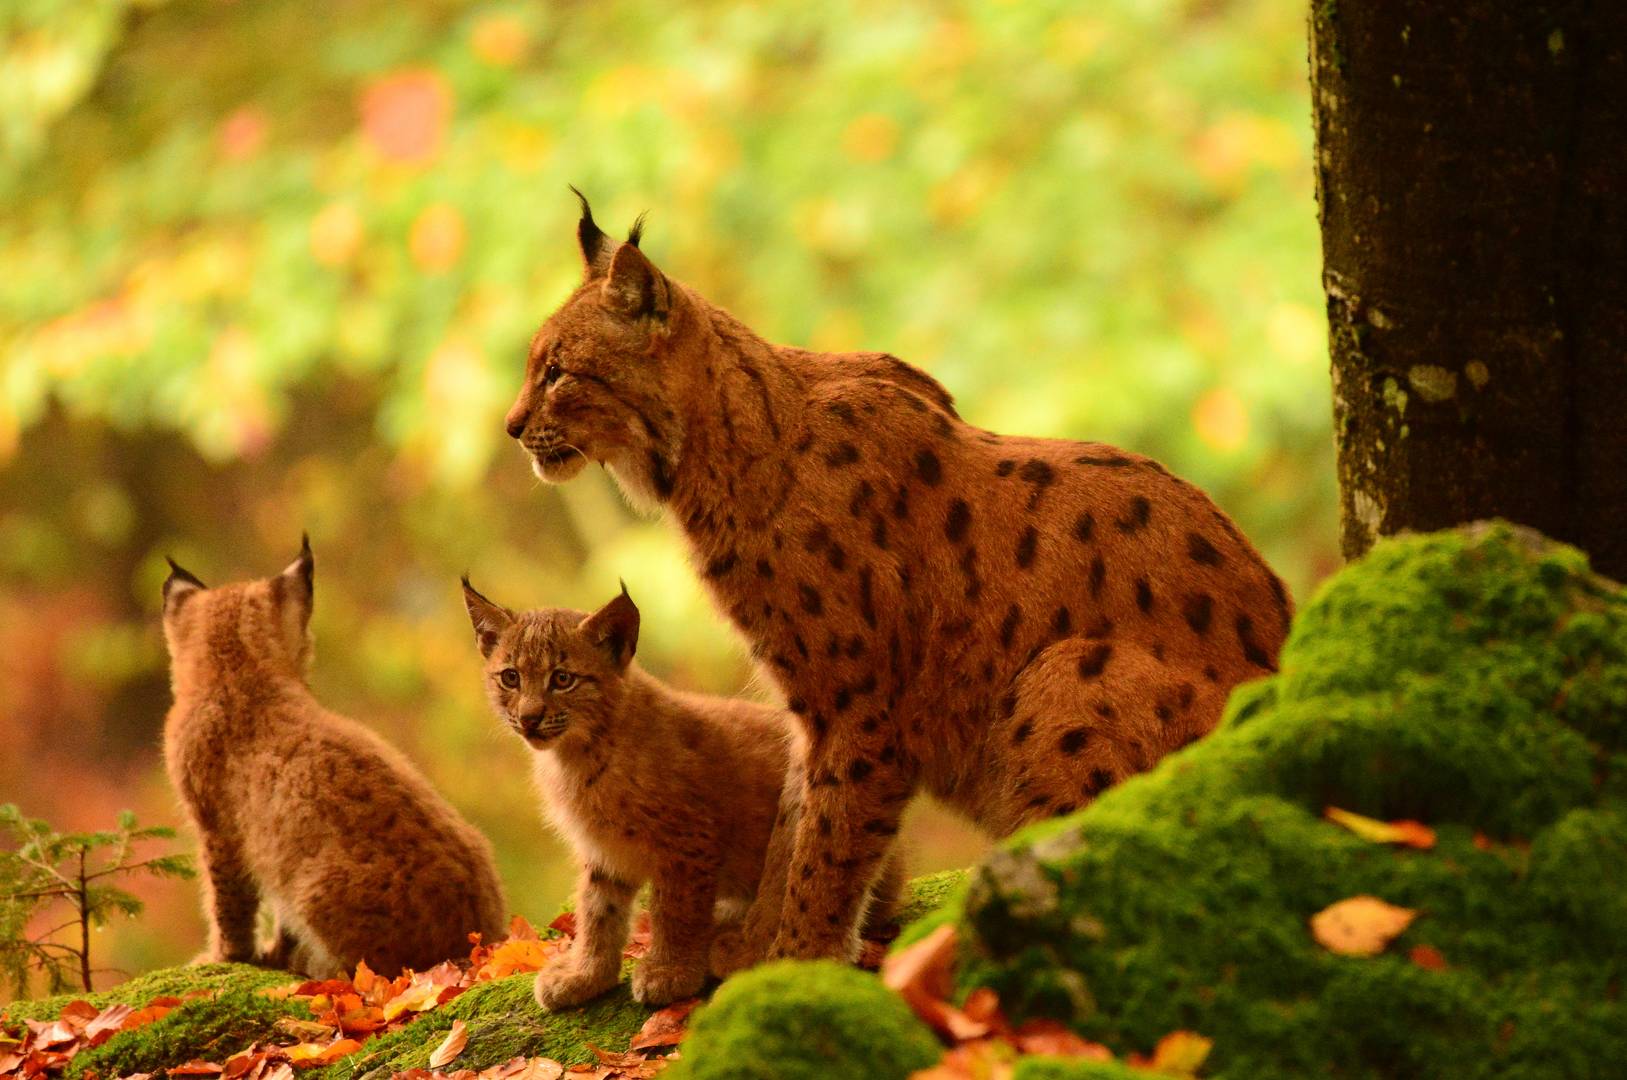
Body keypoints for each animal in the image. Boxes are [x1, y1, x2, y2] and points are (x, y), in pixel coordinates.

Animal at [160, 540, 501, 975]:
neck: (239, 669)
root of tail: (482, 939)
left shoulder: (219, 830)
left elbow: (227, 901)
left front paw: (224, 956)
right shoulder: (272, 848)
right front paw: (273, 952)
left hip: (316, 888)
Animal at [458, 579, 898, 1008]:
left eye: (562, 679)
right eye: (510, 677)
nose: (529, 719)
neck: (578, 752)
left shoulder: (688, 837)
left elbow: (675, 909)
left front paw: (670, 972)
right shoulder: (604, 847)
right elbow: (598, 911)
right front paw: (587, 976)